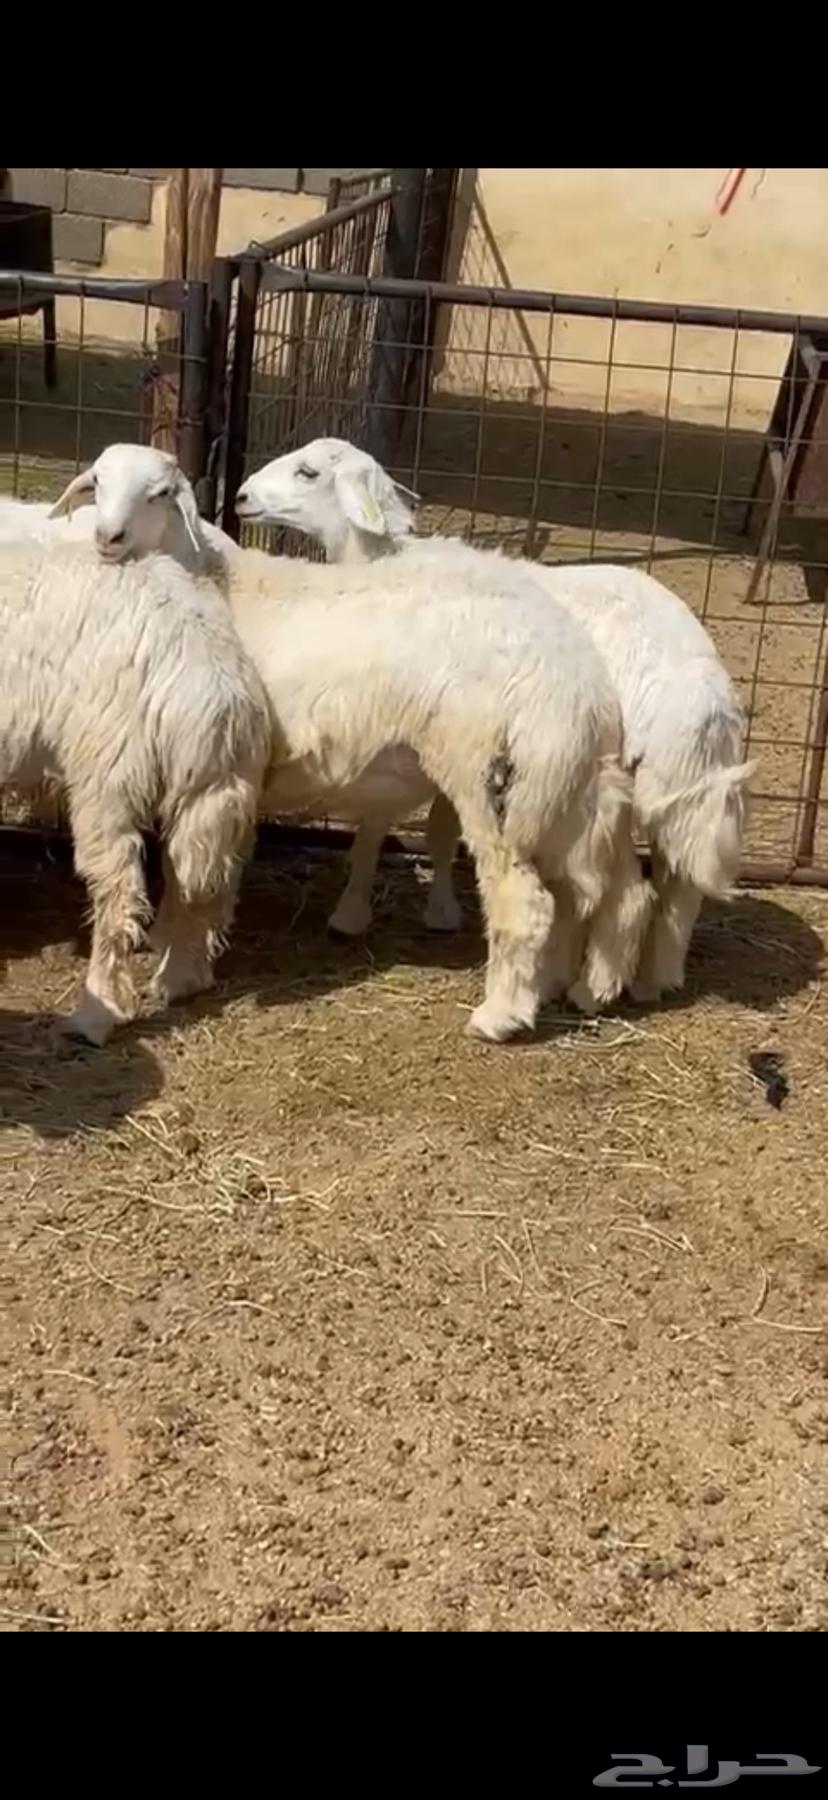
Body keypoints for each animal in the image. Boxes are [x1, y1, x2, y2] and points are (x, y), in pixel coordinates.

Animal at [0, 536, 270, 1044]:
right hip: (214, 789)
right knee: (203, 881)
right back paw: (183, 976)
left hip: (108, 773)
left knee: (119, 894)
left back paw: (94, 1015)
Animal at [59, 446, 652, 1041]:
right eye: (98, 481)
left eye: (160, 493)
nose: (108, 538)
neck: (219, 582)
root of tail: (572, 678)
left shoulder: (214, 769)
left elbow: (195, 871)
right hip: (571, 787)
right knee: (620, 891)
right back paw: (586, 989)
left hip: (491, 779)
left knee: (525, 903)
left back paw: (501, 1014)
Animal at [236, 438, 753, 1002]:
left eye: (308, 472)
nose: (241, 496)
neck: (381, 555)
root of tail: (701, 700)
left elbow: (398, 827)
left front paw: (364, 914)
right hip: (673, 790)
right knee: (677, 883)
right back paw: (652, 979)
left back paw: (586, 985)